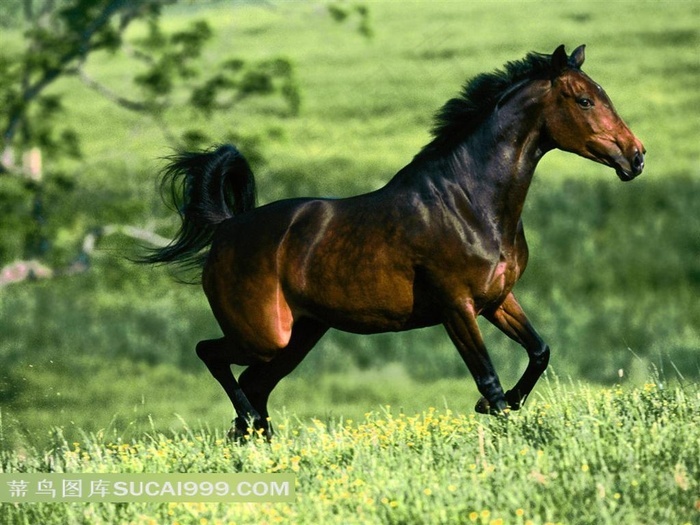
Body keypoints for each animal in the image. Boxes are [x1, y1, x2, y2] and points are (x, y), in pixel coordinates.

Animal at [142, 45, 645, 438]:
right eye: (585, 100)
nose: (636, 156)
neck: (470, 203)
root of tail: (228, 228)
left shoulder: (498, 299)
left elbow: (539, 352)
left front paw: (506, 405)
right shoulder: (456, 307)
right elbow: (488, 379)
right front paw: (495, 414)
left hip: (298, 337)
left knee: (252, 385)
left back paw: (256, 435)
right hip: (263, 336)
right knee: (212, 356)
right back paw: (252, 427)